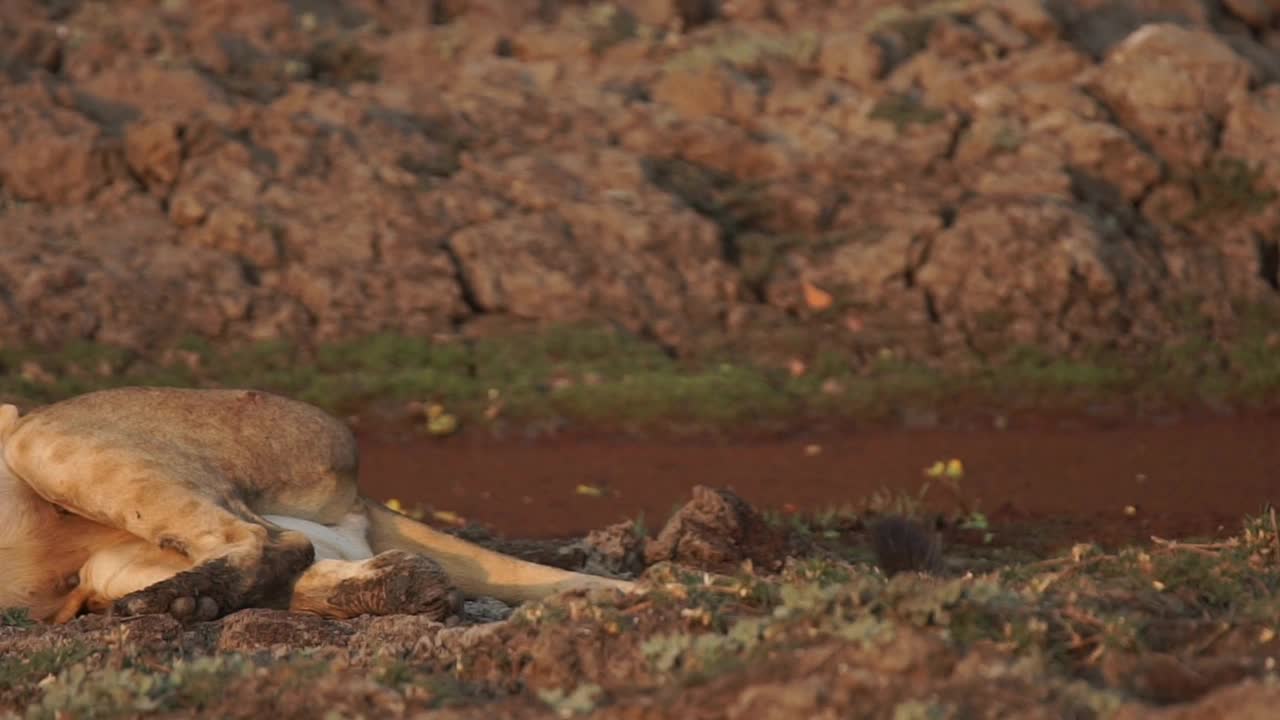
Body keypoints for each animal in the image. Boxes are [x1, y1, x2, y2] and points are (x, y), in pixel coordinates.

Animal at [0, 386, 637, 622]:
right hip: (108, 560)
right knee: (312, 558)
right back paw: (407, 590)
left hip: (49, 439)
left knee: (269, 541)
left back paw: (168, 602)